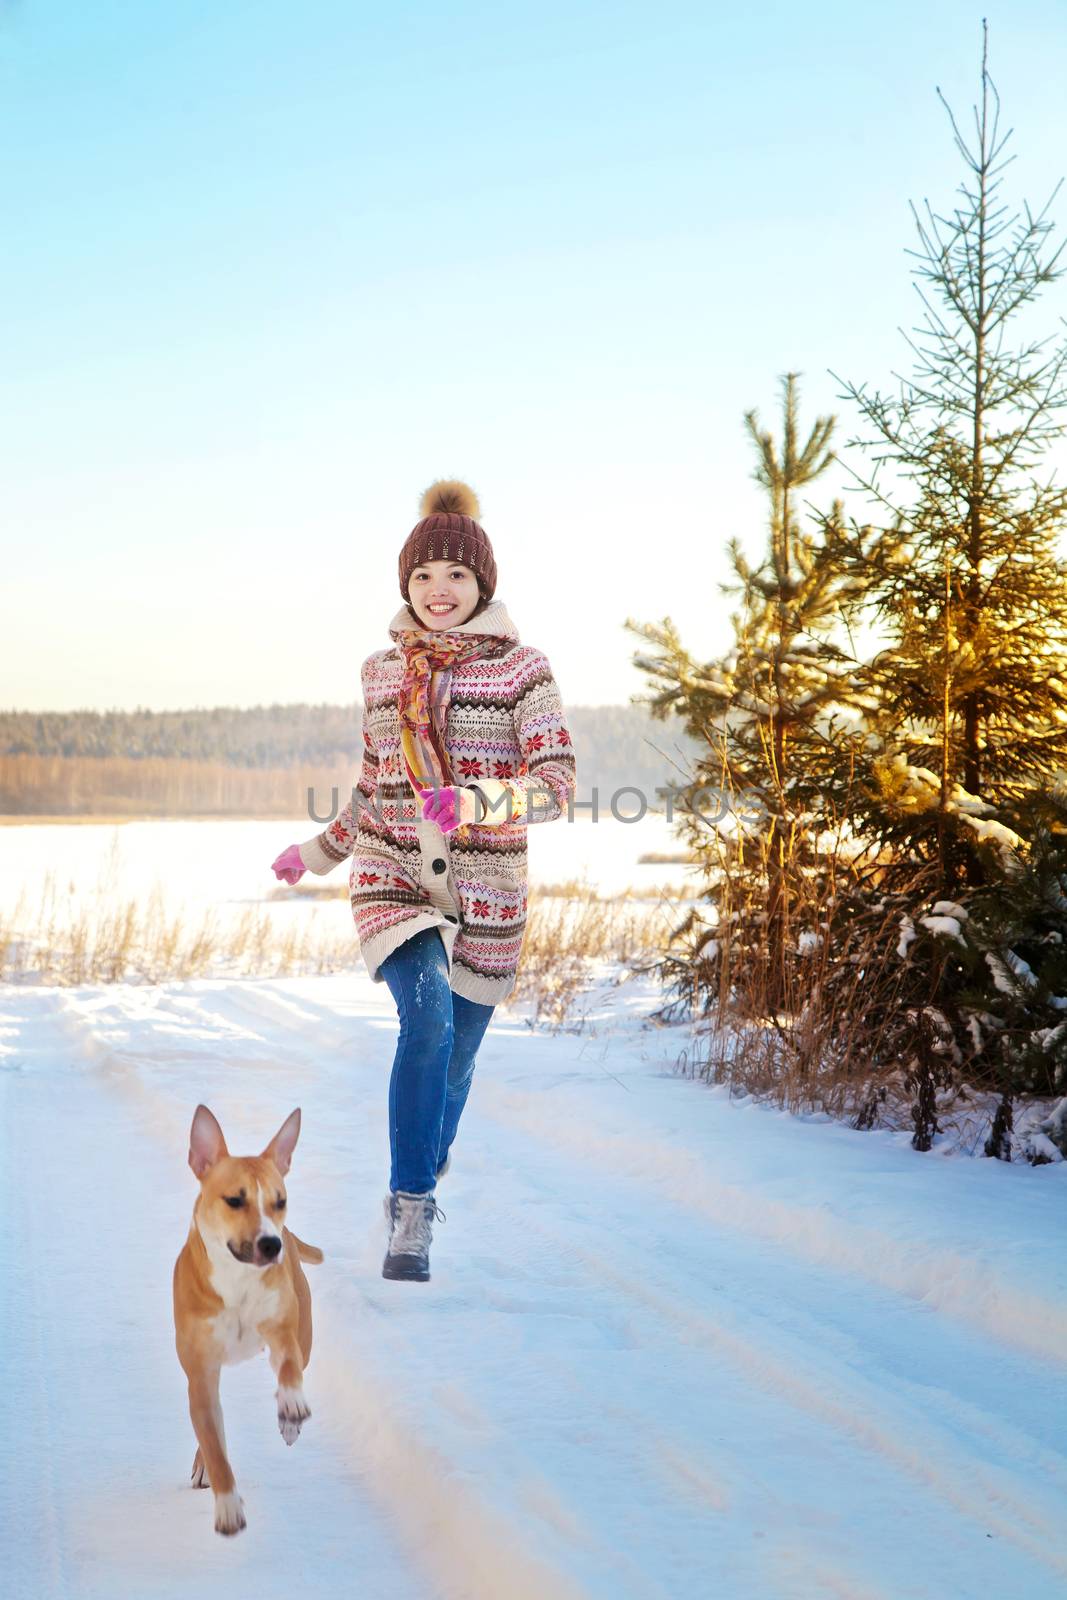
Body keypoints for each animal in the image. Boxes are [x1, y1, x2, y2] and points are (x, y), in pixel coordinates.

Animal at [173, 1100, 323, 1536]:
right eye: (234, 1201)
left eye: (280, 1200)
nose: (272, 1244)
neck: (236, 1281)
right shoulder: (200, 1375)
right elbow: (214, 1444)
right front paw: (227, 1506)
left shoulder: (282, 1329)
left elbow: (289, 1368)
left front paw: (291, 1407)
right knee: (213, 1434)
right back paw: (204, 1468)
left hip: (303, 1330)